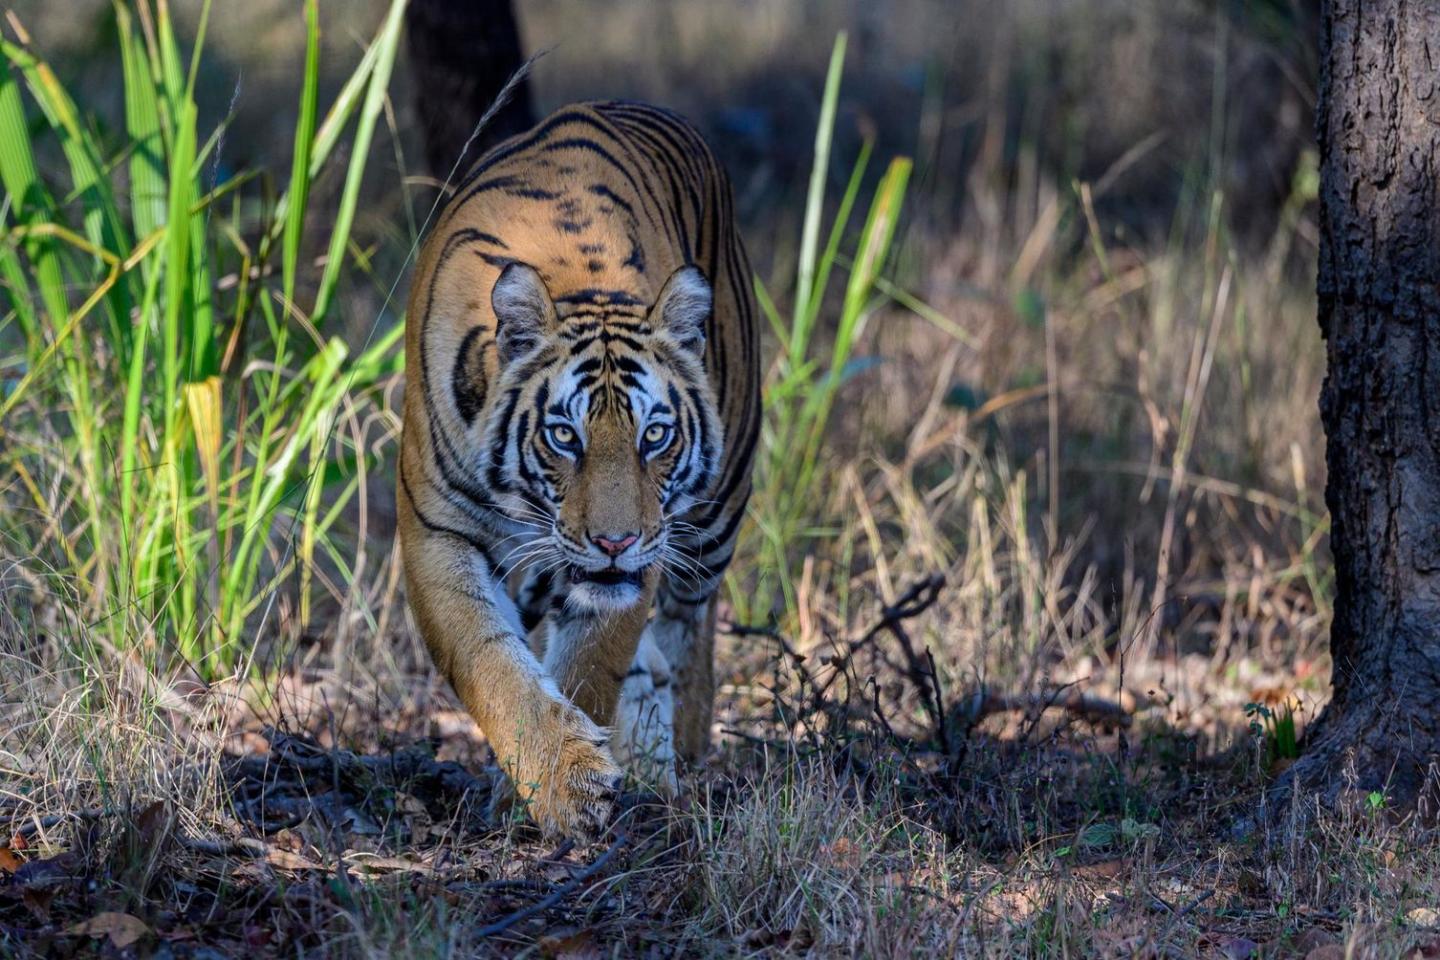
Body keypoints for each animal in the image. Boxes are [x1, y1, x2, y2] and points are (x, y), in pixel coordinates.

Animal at [398, 100, 760, 838]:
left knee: (689, 633)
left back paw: (680, 757)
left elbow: (590, 670)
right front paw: (561, 784)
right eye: (565, 435)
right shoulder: (435, 531)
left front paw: (553, 792)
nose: (615, 542)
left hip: (716, 518)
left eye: (656, 435)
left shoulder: (640, 559)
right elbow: (489, 661)